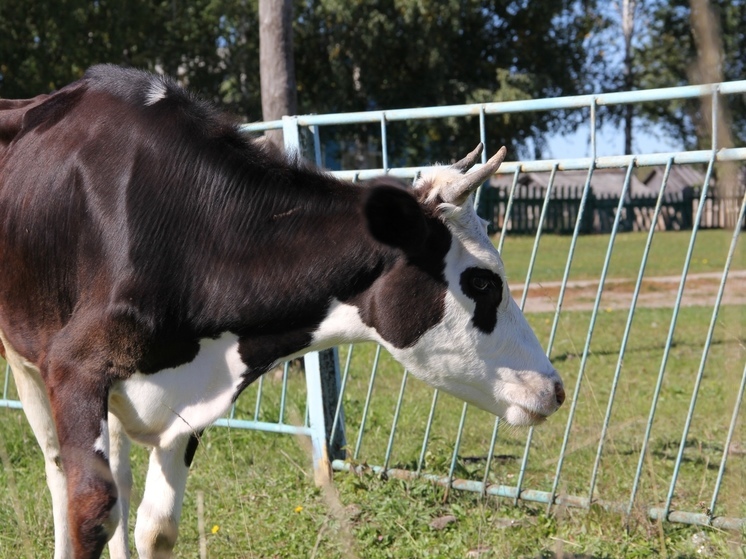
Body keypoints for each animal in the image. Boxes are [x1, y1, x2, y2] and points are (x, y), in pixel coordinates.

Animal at [0, 63, 560, 556]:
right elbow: (90, 511)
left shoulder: (185, 408)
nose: (555, 388)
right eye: (483, 281)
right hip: (26, 355)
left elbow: (156, 529)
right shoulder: (74, 367)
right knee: (58, 470)